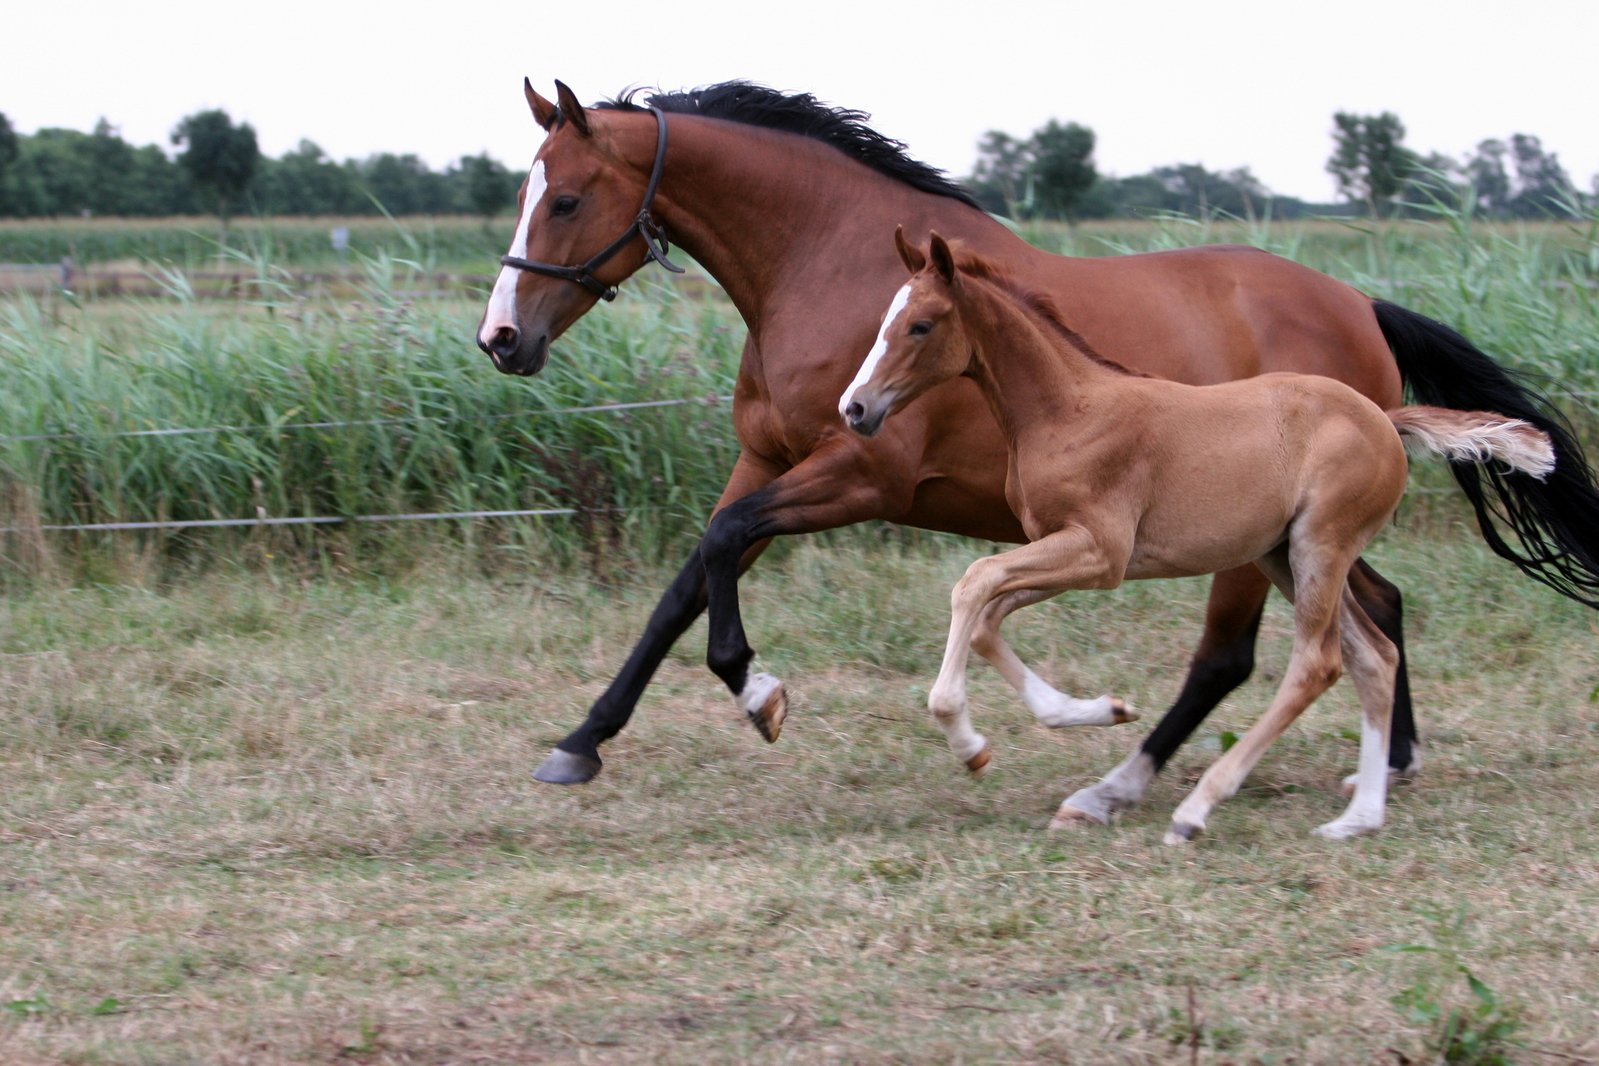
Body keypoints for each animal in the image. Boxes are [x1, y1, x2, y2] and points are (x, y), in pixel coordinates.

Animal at [473, 79, 1599, 824]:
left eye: (564, 198)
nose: (502, 340)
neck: (826, 264)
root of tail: (1359, 305)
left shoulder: (858, 474)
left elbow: (722, 556)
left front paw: (760, 694)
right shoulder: (769, 460)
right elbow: (686, 580)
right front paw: (580, 744)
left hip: (1253, 541)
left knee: (1234, 656)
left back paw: (1128, 783)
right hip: (1294, 535)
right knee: (1381, 608)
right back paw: (1386, 764)